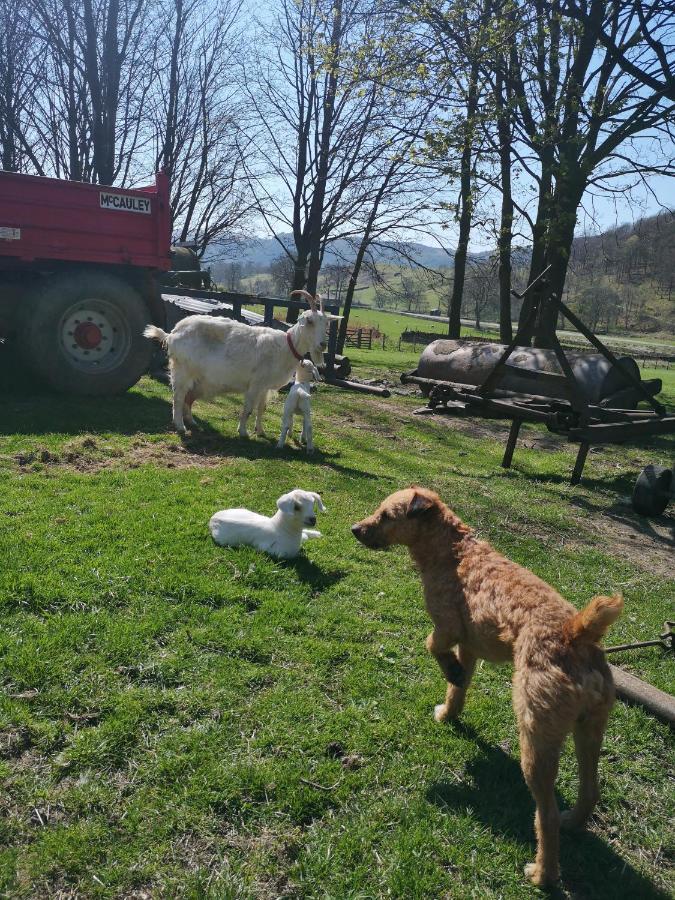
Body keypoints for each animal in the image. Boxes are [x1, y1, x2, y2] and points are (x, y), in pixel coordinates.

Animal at [145, 292, 340, 436]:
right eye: (310, 321)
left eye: (326, 323)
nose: (322, 344)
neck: (286, 346)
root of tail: (172, 333)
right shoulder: (255, 384)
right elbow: (248, 409)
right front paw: (243, 432)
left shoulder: (264, 387)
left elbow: (261, 409)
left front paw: (260, 431)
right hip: (183, 371)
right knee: (178, 398)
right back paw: (180, 426)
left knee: (187, 398)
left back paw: (191, 421)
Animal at [354, 486, 624, 884]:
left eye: (387, 515)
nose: (355, 529)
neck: (454, 550)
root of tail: (576, 633)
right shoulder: (468, 645)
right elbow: (458, 688)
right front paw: (449, 711)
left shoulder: (447, 626)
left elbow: (431, 645)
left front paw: (448, 675)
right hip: (590, 730)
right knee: (590, 790)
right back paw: (573, 822)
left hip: (536, 738)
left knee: (544, 815)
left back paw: (542, 873)